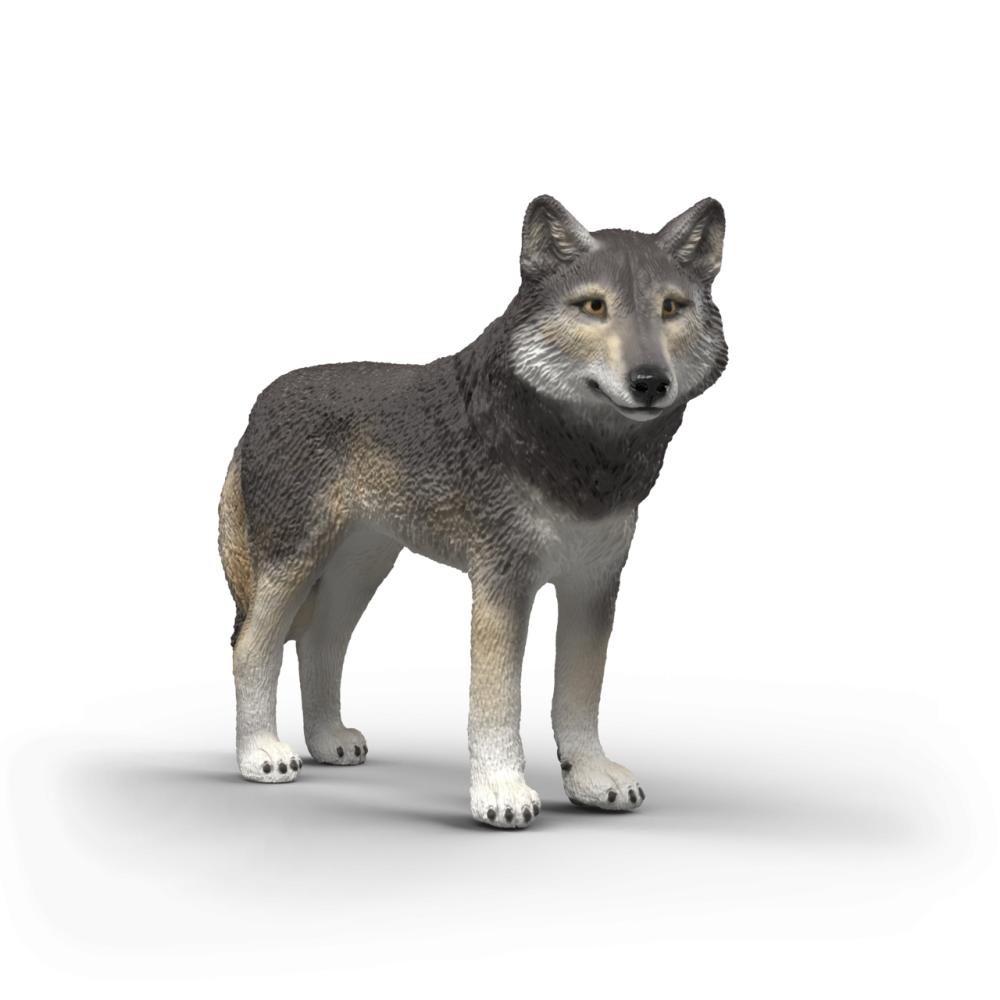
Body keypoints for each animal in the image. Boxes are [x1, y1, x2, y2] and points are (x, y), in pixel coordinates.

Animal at [218, 194, 727, 827]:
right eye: (594, 306)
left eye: (671, 308)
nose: (651, 382)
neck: (584, 459)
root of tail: (261, 402)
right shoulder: (501, 582)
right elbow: (496, 701)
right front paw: (502, 792)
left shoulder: (594, 583)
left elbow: (579, 695)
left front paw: (590, 777)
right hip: (293, 563)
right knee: (251, 649)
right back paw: (262, 754)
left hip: (359, 570)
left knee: (319, 643)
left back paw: (329, 741)